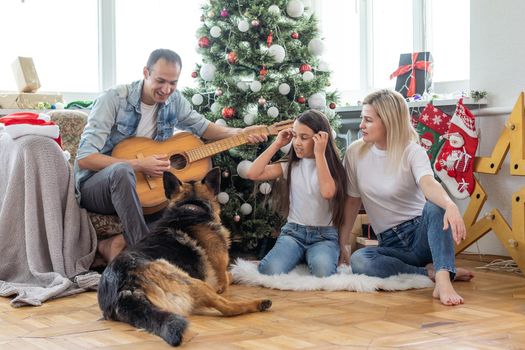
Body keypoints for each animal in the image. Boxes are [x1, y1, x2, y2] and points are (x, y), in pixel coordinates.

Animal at [95, 168, 272, 346]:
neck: (191, 206)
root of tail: (125, 290)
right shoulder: (219, 281)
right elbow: (230, 276)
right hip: (195, 283)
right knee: (228, 308)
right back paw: (259, 303)